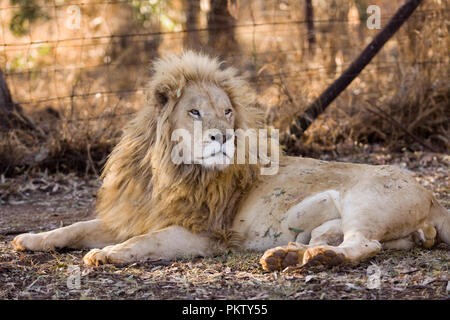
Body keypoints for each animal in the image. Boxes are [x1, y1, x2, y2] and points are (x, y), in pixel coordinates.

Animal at [11, 51, 450, 272]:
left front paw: (108, 253)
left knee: (364, 245)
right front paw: (29, 239)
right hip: (333, 223)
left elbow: (146, 241)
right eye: (194, 112)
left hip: (368, 201)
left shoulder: (205, 234)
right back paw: (287, 256)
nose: (223, 136)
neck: (165, 172)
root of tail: (433, 197)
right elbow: (73, 227)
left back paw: (319, 260)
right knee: (339, 239)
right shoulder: (136, 213)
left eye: (226, 112)